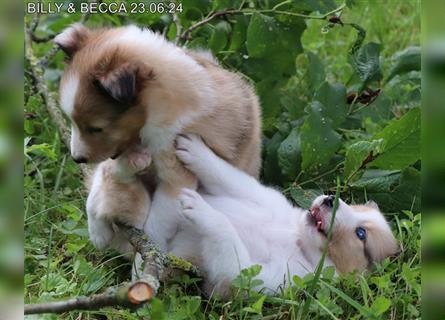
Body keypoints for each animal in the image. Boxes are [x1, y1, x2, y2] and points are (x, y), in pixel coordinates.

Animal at [53, 24, 262, 250]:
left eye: (95, 128)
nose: (77, 159)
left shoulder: (175, 178)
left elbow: (154, 230)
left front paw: (144, 259)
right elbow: (99, 182)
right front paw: (96, 231)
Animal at [170, 134, 398, 296]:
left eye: (361, 234)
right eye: (355, 206)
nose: (330, 199)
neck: (297, 239)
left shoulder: (254, 277)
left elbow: (226, 234)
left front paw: (199, 207)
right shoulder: (262, 196)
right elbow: (227, 175)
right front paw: (195, 150)